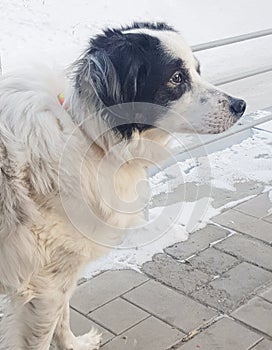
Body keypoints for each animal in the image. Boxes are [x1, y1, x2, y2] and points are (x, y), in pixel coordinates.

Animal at [0, 22, 246, 350]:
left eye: (197, 70)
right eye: (176, 78)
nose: (241, 105)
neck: (84, 131)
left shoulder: (60, 273)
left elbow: (62, 318)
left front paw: (74, 345)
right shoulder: (44, 285)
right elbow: (45, 331)